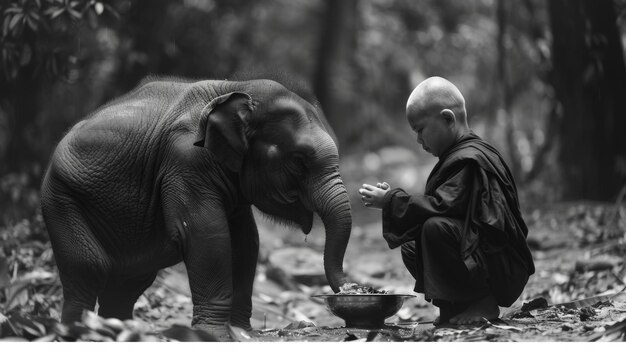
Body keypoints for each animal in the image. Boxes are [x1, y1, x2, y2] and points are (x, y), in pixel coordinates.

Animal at [40, 77, 352, 340]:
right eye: (299, 162)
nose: (345, 289)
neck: (236, 89)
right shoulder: (185, 161)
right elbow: (209, 235)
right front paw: (214, 335)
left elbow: (246, 242)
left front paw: (241, 332)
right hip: (61, 199)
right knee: (89, 267)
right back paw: (76, 333)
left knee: (128, 283)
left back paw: (116, 332)